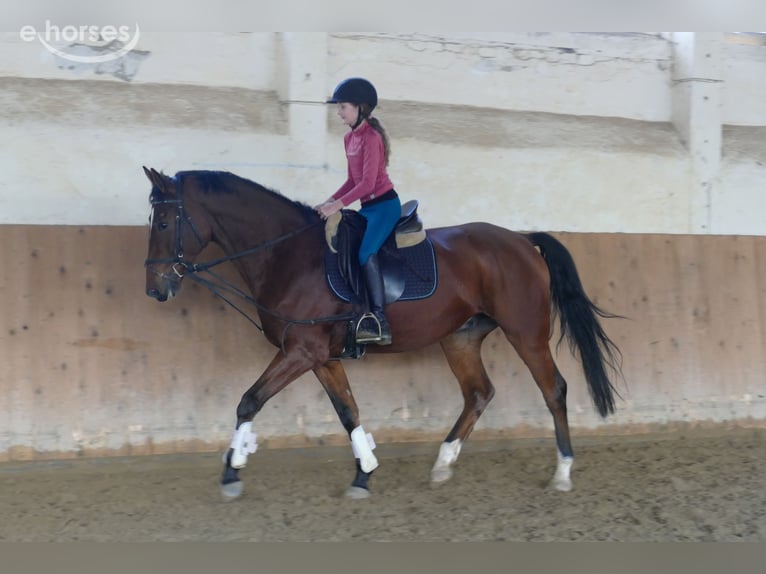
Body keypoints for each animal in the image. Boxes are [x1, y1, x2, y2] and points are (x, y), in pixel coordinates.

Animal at [142, 166, 623, 500]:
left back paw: (562, 473)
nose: (155, 288)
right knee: (479, 393)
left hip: (525, 331)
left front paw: (231, 470)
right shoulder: (321, 356)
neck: (287, 254)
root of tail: (522, 241)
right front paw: (363, 475)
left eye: (163, 223)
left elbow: (249, 400)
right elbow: (348, 412)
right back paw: (442, 463)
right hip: (460, 338)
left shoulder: (301, 351)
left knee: (554, 389)